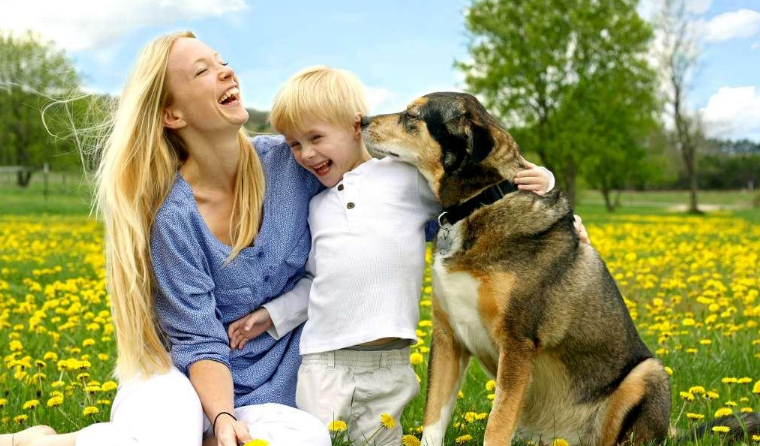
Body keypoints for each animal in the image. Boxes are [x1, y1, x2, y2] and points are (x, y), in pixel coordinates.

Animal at [360, 91, 756, 446]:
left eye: (412, 116)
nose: (361, 121)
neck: (481, 203)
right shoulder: (447, 338)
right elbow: (434, 419)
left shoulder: (517, 343)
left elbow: (496, 426)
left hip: (648, 374)